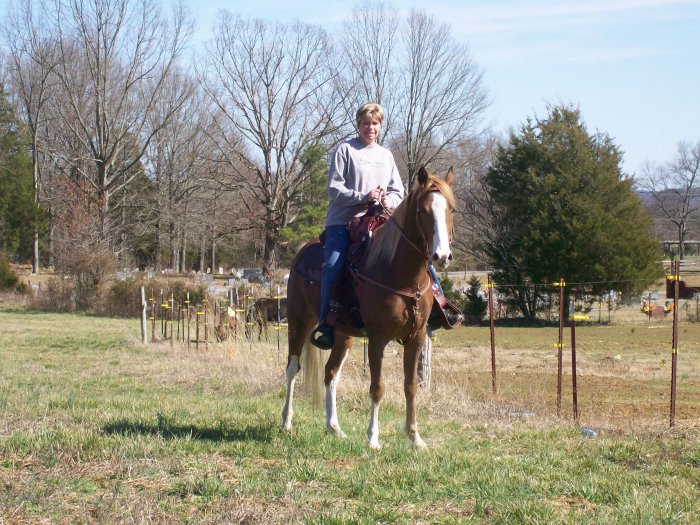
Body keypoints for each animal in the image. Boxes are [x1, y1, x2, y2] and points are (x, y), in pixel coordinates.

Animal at [282, 166, 456, 448]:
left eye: (451, 208)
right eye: (423, 210)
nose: (441, 256)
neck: (399, 275)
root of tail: (301, 253)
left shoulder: (416, 338)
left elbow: (410, 387)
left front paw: (414, 437)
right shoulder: (377, 339)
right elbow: (377, 387)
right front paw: (373, 438)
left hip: (342, 335)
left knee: (331, 373)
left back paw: (334, 427)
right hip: (298, 322)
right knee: (292, 368)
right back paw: (286, 422)